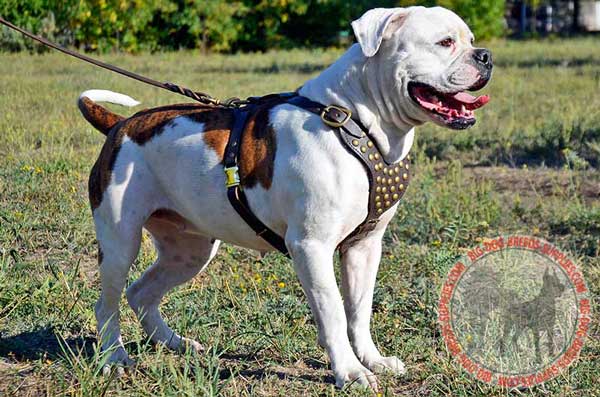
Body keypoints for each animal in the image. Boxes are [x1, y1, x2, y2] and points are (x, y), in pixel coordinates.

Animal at [78, 6, 492, 390]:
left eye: (471, 40)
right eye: (445, 43)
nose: (485, 56)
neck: (354, 120)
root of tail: (120, 125)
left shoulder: (365, 245)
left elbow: (359, 309)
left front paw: (371, 359)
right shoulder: (311, 245)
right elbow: (333, 310)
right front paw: (349, 371)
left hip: (189, 252)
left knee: (141, 293)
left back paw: (176, 343)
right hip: (120, 243)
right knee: (108, 302)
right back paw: (114, 357)